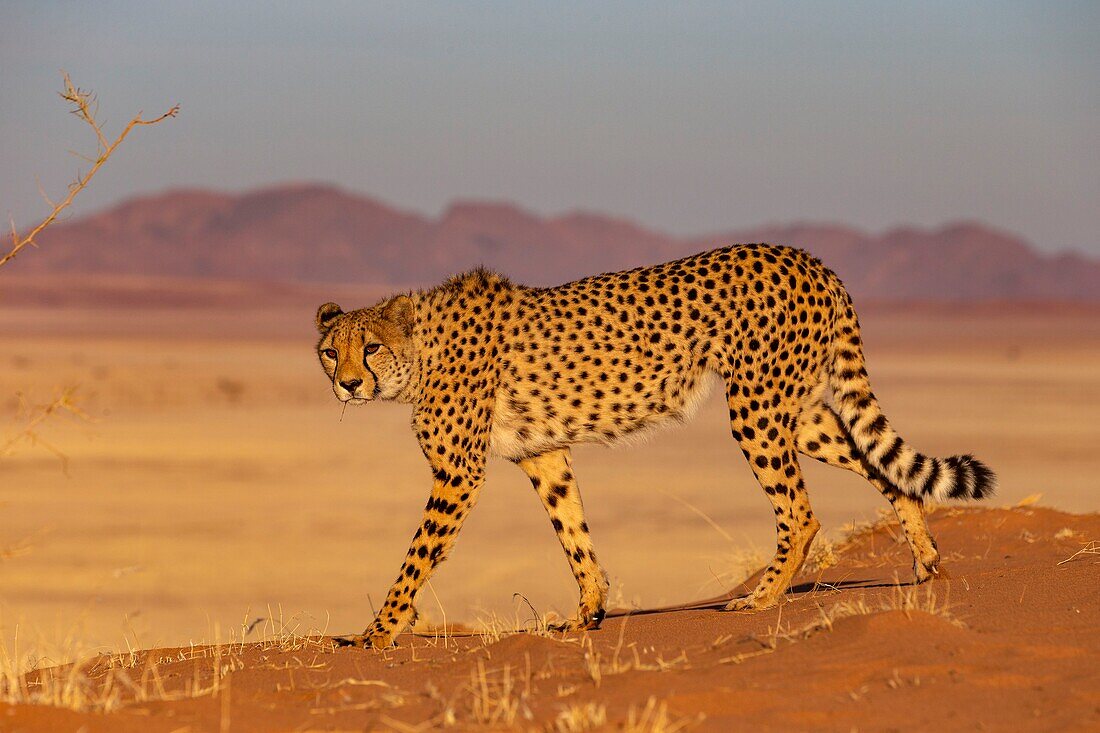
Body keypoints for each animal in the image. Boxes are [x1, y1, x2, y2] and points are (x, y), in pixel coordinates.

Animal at [314, 241, 994, 647]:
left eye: (369, 348)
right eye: (329, 350)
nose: (347, 383)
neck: (418, 351)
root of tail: (804, 256)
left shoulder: (457, 473)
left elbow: (416, 558)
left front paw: (375, 634)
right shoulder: (543, 454)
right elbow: (574, 532)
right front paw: (587, 612)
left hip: (756, 409)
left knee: (801, 511)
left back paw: (760, 598)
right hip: (796, 411)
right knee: (882, 466)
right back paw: (926, 558)